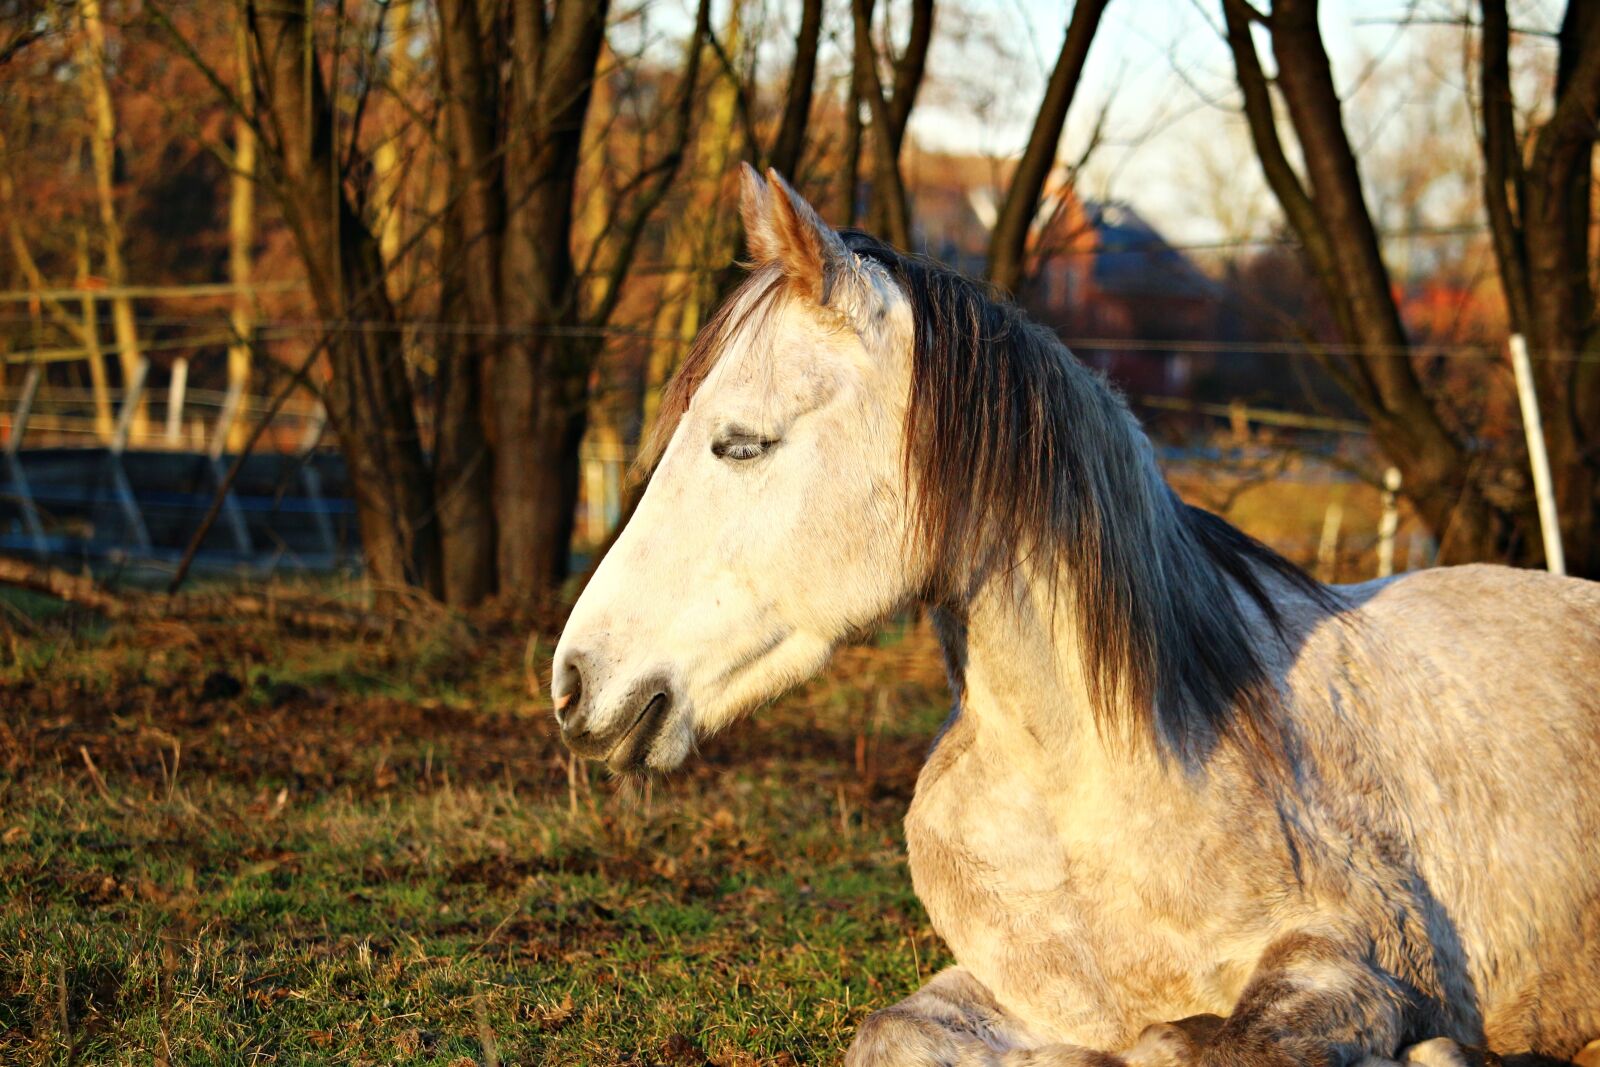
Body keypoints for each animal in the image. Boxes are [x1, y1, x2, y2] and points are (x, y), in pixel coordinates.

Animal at [549, 164, 1600, 1067]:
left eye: (741, 443)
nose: (573, 681)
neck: (1086, 782)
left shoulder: (1361, 959)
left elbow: (1200, 1043)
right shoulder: (1012, 985)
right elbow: (891, 1032)